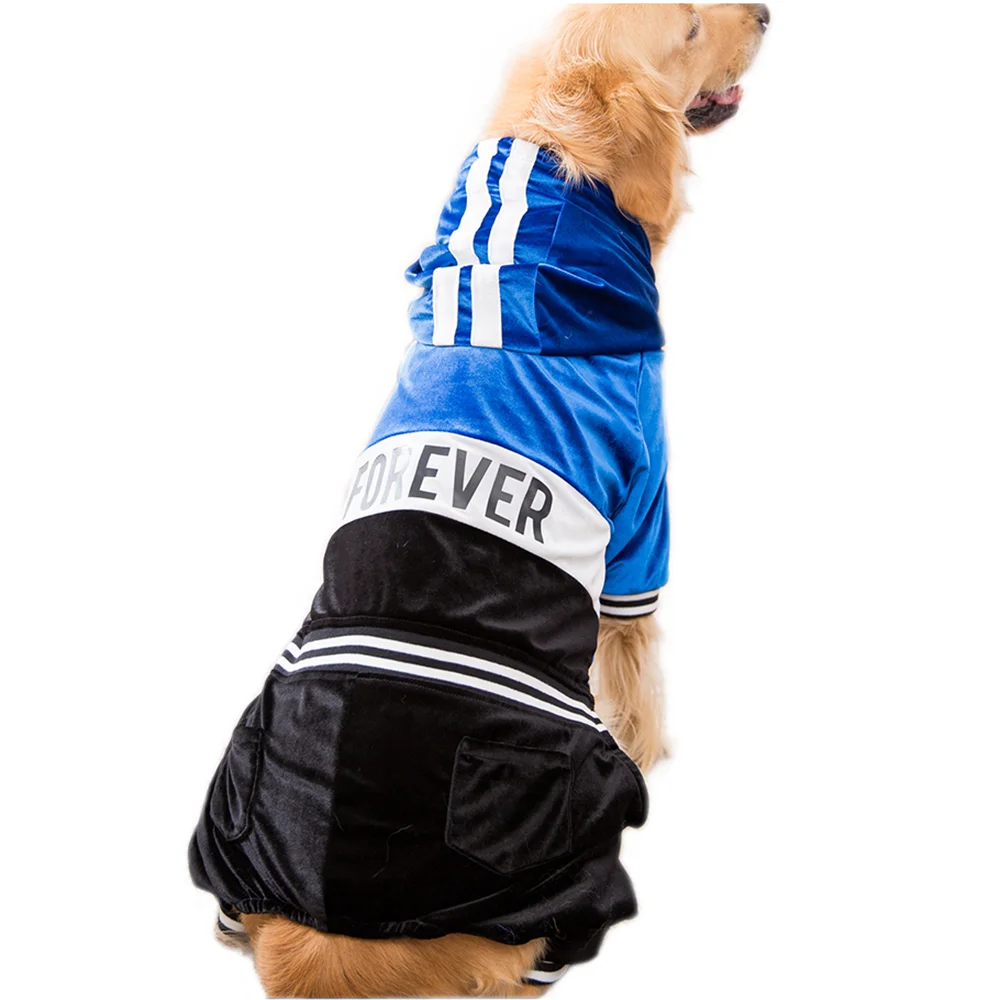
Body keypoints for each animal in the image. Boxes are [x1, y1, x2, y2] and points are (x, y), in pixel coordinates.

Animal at [190, 5, 769, 996]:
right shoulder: (642, 521)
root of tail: (326, 939)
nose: (768, 14)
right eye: (692, 31)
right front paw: (659, 745)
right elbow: (639, 672)